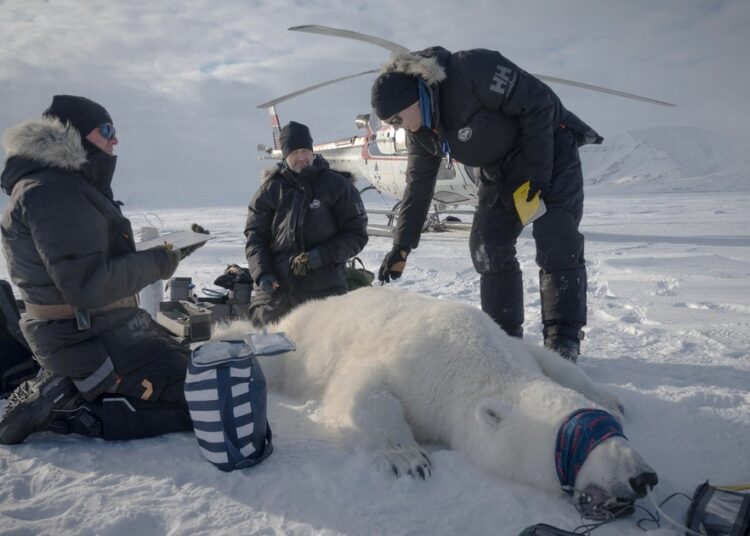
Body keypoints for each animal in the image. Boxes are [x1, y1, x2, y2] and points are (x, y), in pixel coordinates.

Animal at [216, 287, 657, 509]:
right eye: (577, 438)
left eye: (611, 430)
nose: (644, 478)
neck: (472, 358)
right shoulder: (413, 365)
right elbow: (362, 389)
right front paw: (408, 460)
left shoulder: (512, 347)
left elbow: (557, 363)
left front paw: (614, 400)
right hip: (299, 345)